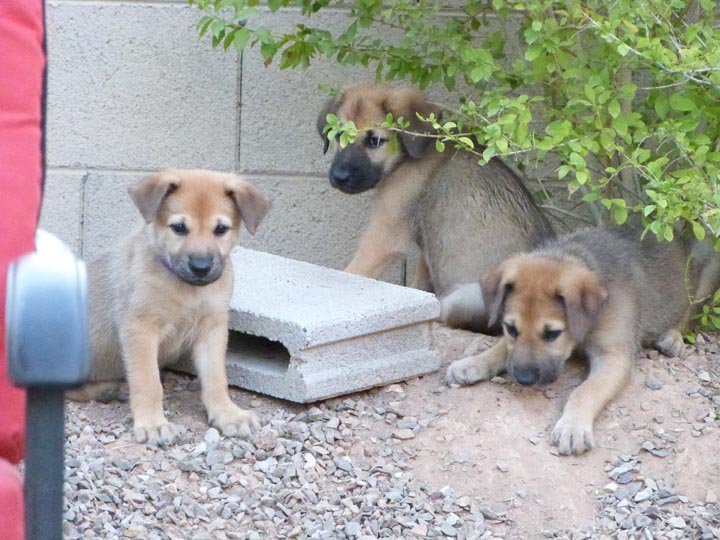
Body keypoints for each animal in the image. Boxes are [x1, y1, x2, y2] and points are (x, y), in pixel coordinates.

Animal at [71, 170, 268, 448]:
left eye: (220, 229)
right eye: (179, 228)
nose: (201, 267)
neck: (188, 289)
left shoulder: (212, 328)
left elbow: (216, 378)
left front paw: (228, 413)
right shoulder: (140, 328)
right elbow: (148, 382)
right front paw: (153, 424)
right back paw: (106, 390)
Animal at [316, 83, 556, 334]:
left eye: (374, 141)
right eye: (338, 134)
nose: (338, 177)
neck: (408, 157)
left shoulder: (385, 236)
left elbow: (354, 272)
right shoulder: (425, 250)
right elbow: (420, 285)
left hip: (460, 298)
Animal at [444, 228, 716, 456]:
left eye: (552, 333)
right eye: (511, 328)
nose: (523, 379)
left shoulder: (614, 356)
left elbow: (585, 391)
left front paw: (572, 427)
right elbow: (502, 348)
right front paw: (474, 362)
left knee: (689, 313)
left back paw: (672, 338)